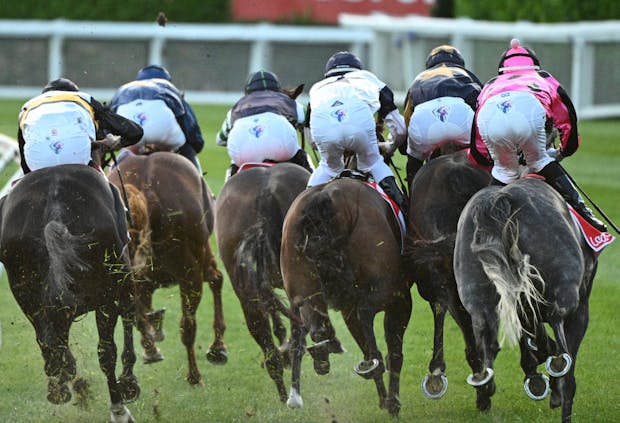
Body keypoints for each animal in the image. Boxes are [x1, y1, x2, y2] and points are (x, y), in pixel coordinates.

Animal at [0, 164, 139, 422]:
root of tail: (54, 210)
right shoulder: (122, 286)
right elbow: (127, 321)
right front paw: (129, 384)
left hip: (26, 295)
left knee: (49, 345)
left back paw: (60, 386)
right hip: (108, 291)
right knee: (106, 352)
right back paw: (118, 408)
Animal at [214, 163, 310, 404]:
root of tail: (264, 194)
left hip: (243, 283)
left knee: (260, 330)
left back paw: (284, 393)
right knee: (299, 331)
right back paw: (295, 394)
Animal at [280, 176, 412, 418]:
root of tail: (323, 198)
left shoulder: (347, 306)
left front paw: (384, 399)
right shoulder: (400, 300)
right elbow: (394, 352)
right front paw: (392, 404)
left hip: (301, 284)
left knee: (309, 324)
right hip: (387, 290)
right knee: (366, 315)